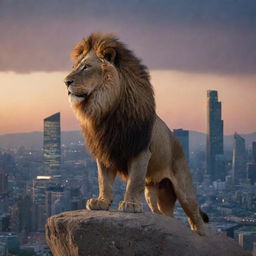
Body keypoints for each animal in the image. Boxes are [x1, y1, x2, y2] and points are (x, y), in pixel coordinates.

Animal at [63, 33, 208, 235]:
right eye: (75, 67)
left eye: (86, 67)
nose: (66, 82)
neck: (106, 110)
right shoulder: (105, 151)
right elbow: (103, 180)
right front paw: (101, 202)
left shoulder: (140, 151)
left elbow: (134, 181)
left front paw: (130, 205)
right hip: (155, 193)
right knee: (166, 216)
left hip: (184, 189)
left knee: (195, 216)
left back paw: (201, 234)